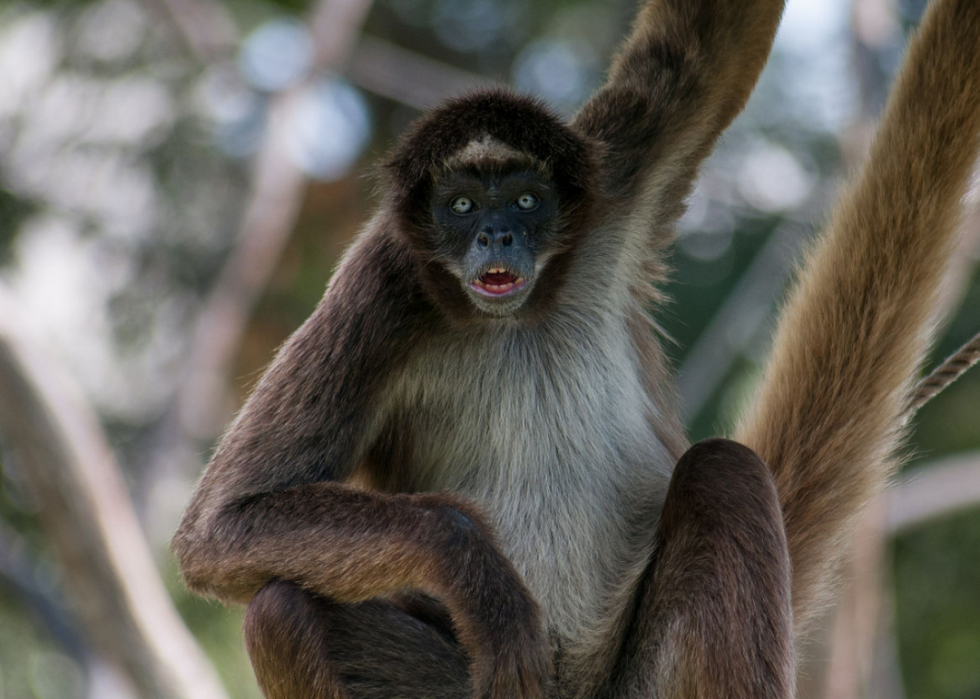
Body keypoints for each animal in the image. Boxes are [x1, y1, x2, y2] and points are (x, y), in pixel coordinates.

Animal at [172, 0, 980, 696]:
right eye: (461, 205)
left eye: (527, 199)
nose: (497, 235)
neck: (513, 318)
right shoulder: (381, 288)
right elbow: (219, 528)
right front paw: (481, 577)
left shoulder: (617, 173)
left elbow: (709, 41)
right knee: (282, 612)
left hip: (650, 678)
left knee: (723, 471)